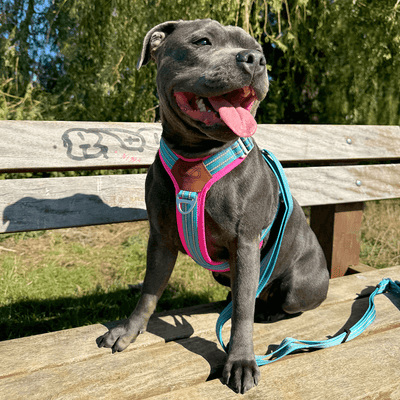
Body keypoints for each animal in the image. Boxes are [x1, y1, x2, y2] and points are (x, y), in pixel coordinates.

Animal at [98, 18, 330, 394]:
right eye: (203, 41)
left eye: (259, 49)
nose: (255, 60)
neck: (195, 155)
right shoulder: (160, 240)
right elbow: (149, 292)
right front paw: (129, 331)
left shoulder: (246, 243)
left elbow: (243, 314)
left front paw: (241, 361)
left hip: (297, 286)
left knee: (278, 302)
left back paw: (268, 311)